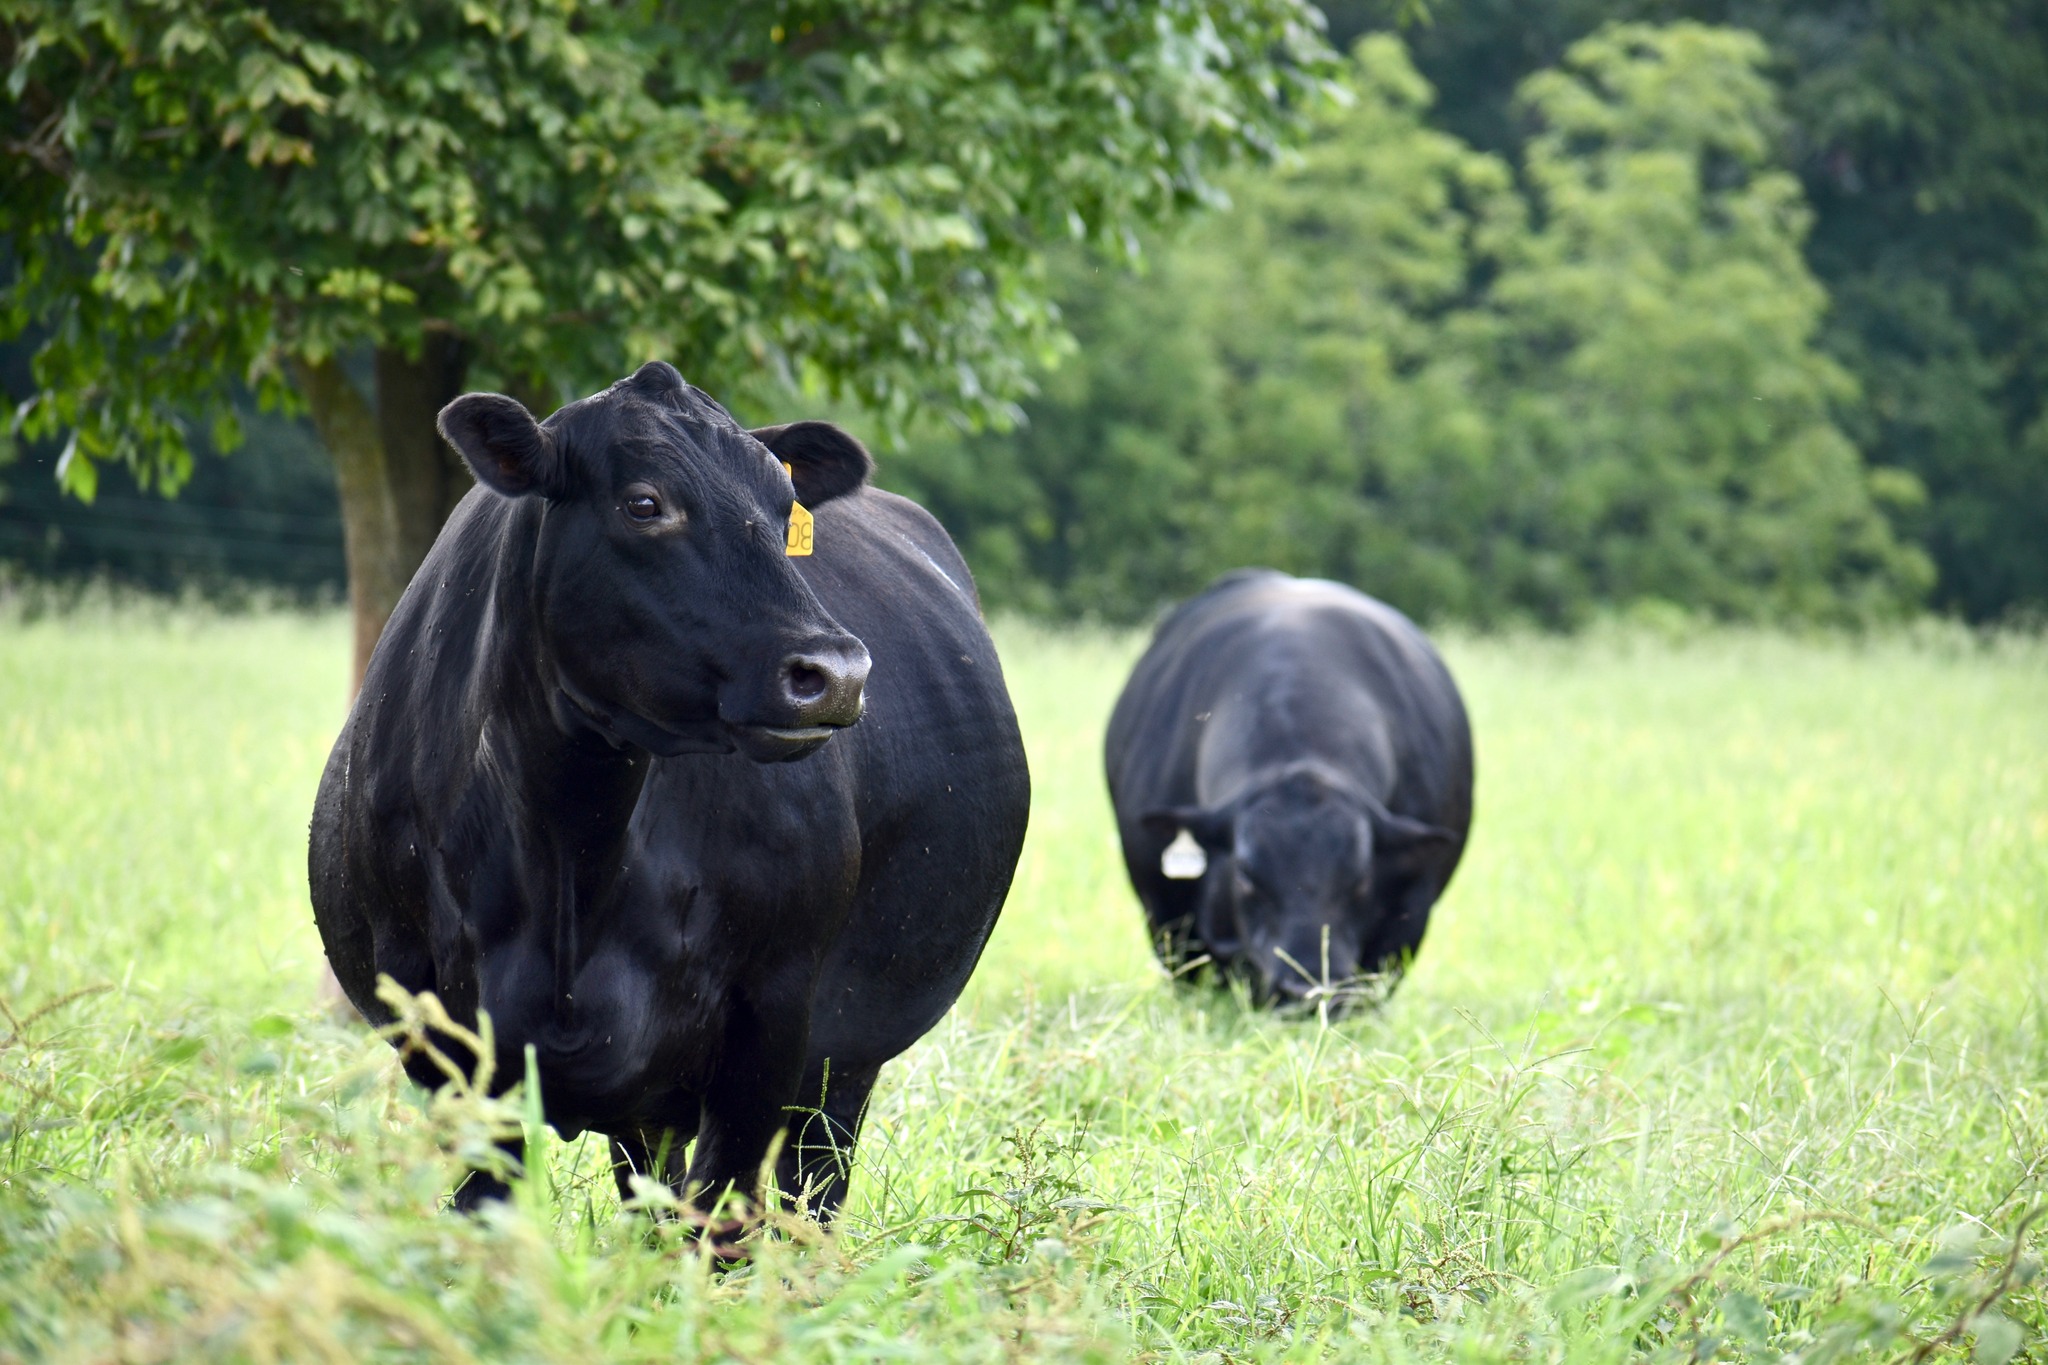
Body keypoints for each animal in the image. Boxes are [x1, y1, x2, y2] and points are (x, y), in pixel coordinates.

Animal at [308, 361, 1030, 1231]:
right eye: (644, 503)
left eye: (783, 511)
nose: (835, 671)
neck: (569, 848)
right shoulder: (451, 1048)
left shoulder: (772, 1020)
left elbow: (721, 1226)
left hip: (844, 1064)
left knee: (808, 1194)